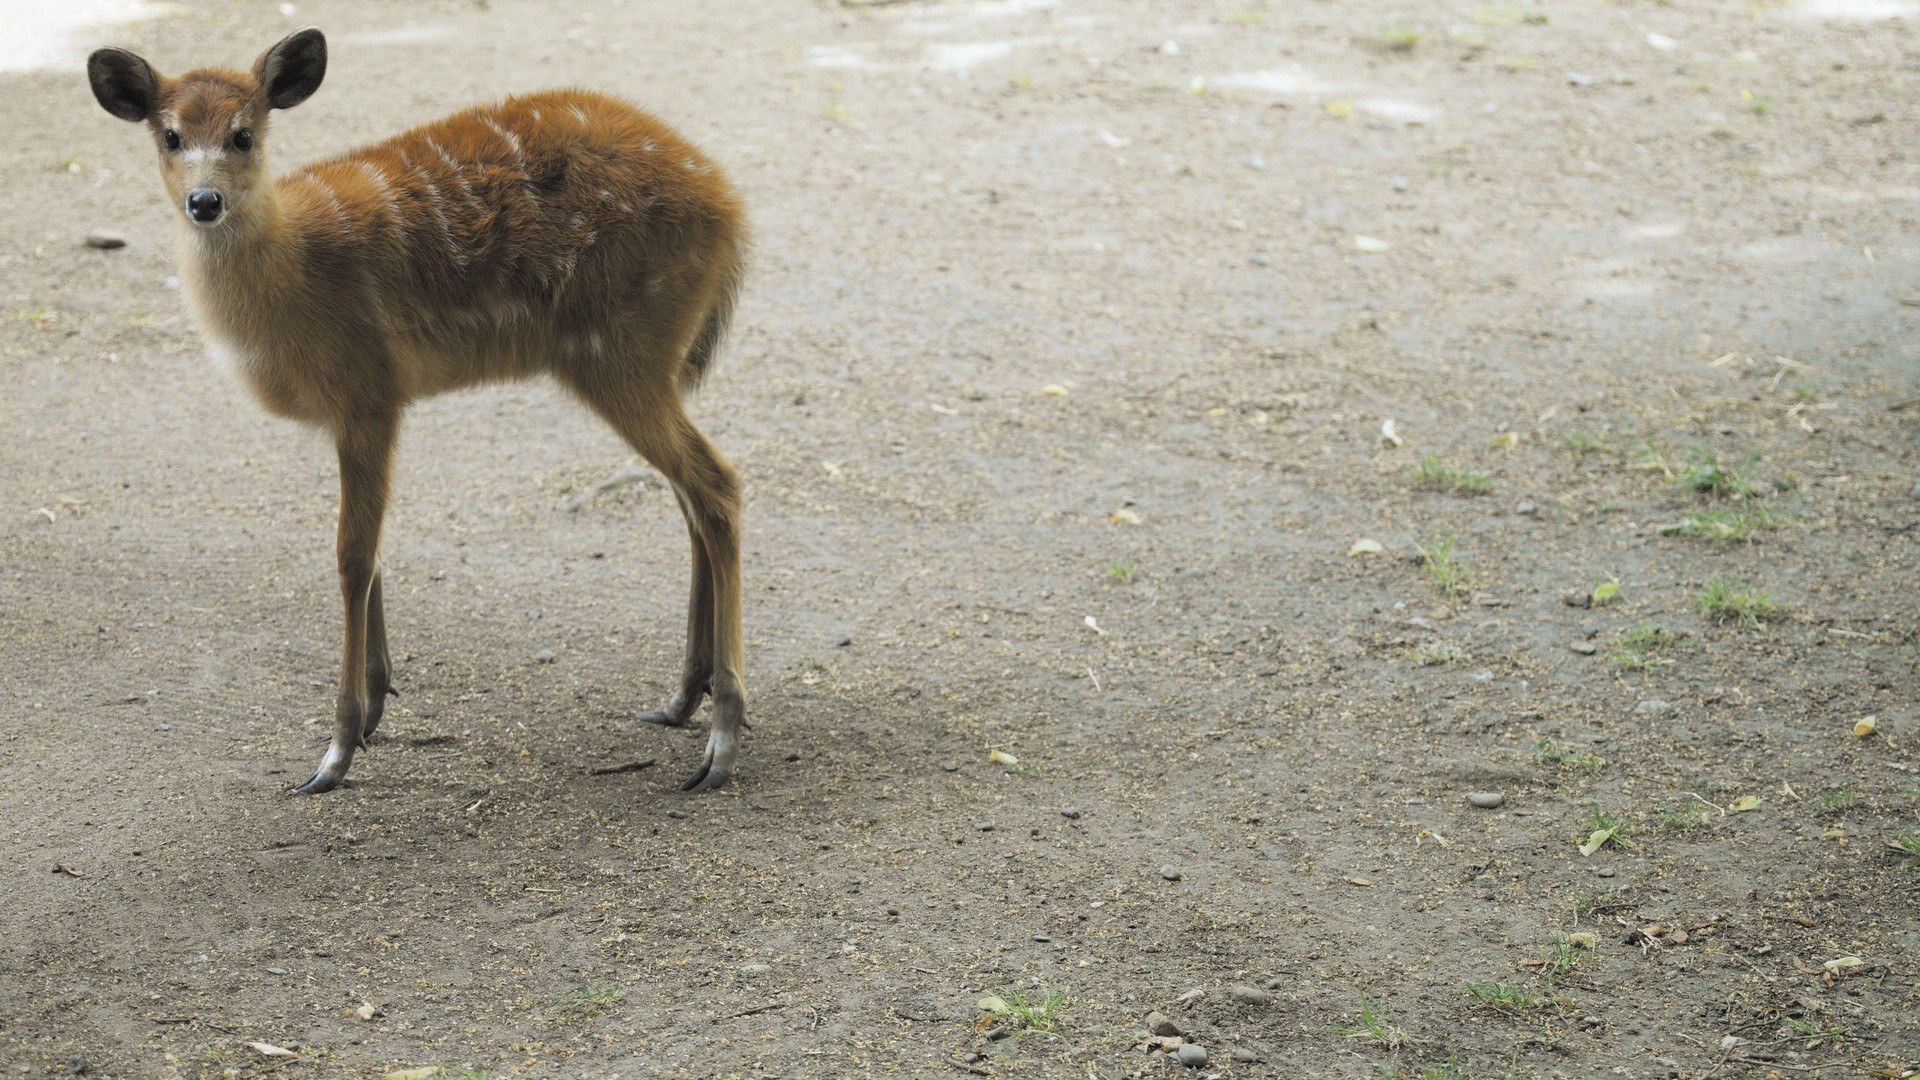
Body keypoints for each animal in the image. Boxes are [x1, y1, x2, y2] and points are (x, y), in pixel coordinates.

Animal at [87, 29, 751, 794]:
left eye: (243, 133)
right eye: (169, 135)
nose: (205, 200)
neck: (292, 279)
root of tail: (732, 208)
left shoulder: (368, 391)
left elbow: (352, 554)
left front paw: (335, 752)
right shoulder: (356, 410)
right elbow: (370, 551)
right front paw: (375, 709)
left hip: (623, 353)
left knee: (718, 485)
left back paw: (722, 741)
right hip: (645, 365)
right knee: (691, 497)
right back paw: (680, 699)